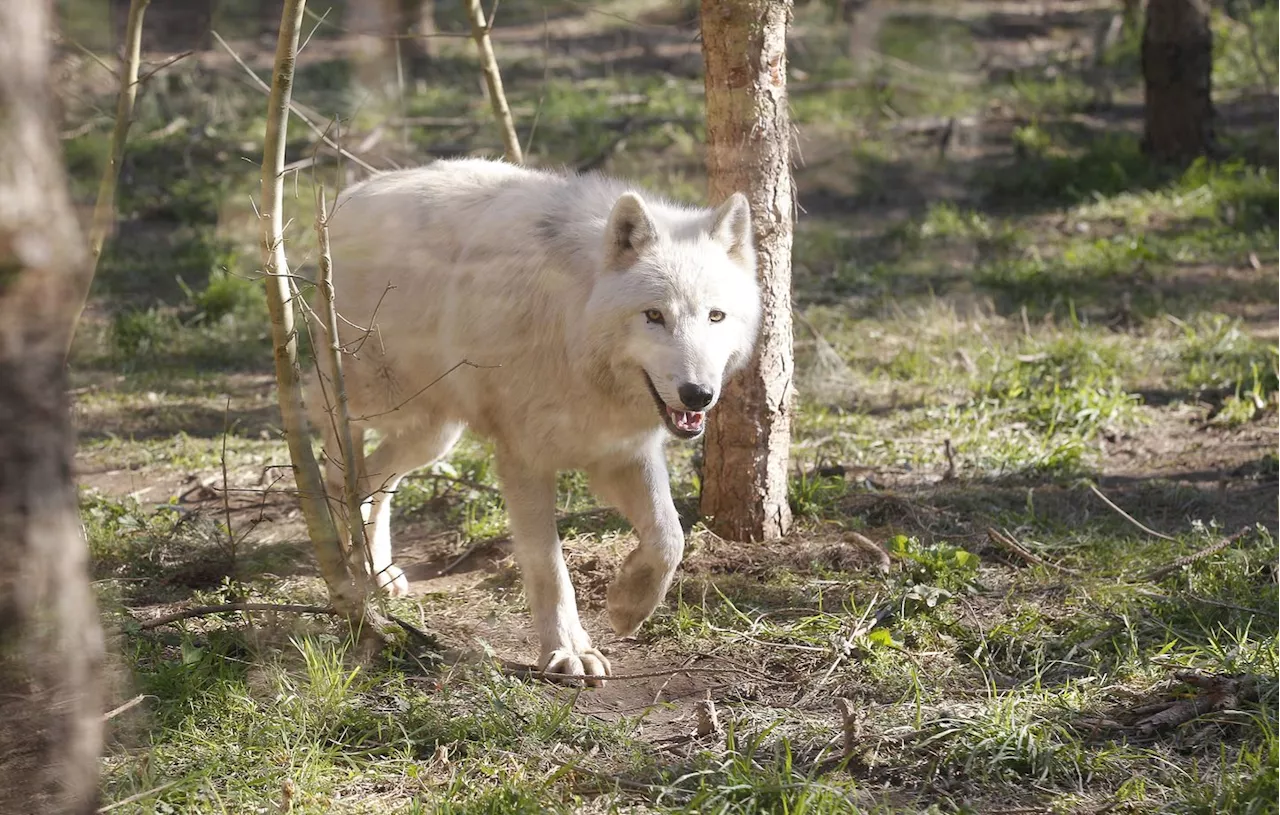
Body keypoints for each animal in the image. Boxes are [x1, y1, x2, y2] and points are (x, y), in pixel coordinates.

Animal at [309, 158, 757, 680]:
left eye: (715, 316)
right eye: (653, 316)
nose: (698, 395)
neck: (573, 333)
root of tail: (351, 194)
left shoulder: (623, 452)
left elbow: (670, 538)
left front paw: (627, 607)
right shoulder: (523, 459)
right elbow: (548, 566)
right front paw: (566, 651)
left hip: (435, 435)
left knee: (374, 482)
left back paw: (378, 573)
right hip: (370, 402)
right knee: (338, 471)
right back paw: (349, 570)